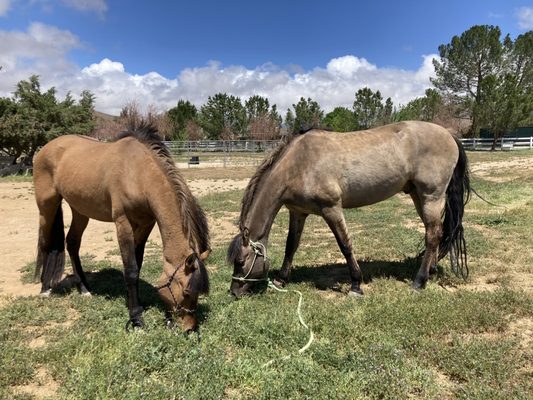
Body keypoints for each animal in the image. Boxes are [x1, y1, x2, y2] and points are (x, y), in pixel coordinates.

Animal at [33, 124, 210, 332]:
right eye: (187, 291)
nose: (189, 328)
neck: (137, 173)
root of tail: (45, 149)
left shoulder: (145, 224)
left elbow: (137, 265)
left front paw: (135, 302)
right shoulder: (123, 223)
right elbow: (131, 269)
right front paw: (136, 319)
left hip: (80, 210)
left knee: (72, 243)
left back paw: (84, 289)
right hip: (47, 206)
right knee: (44, 242)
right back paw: (45, 288)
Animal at [227, 120, 468, 298]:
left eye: (241, 261)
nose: (234, 292)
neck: (299, 163)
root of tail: (449, 135)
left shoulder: (331, 209)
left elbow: (345, 245)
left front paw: (356, 285)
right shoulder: (298, 212)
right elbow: (291, 245)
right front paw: (281, 279)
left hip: (431, 197)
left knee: (432, 235)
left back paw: (419, 281)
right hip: (418, 196)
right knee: (434, 232)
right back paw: (431, 270)